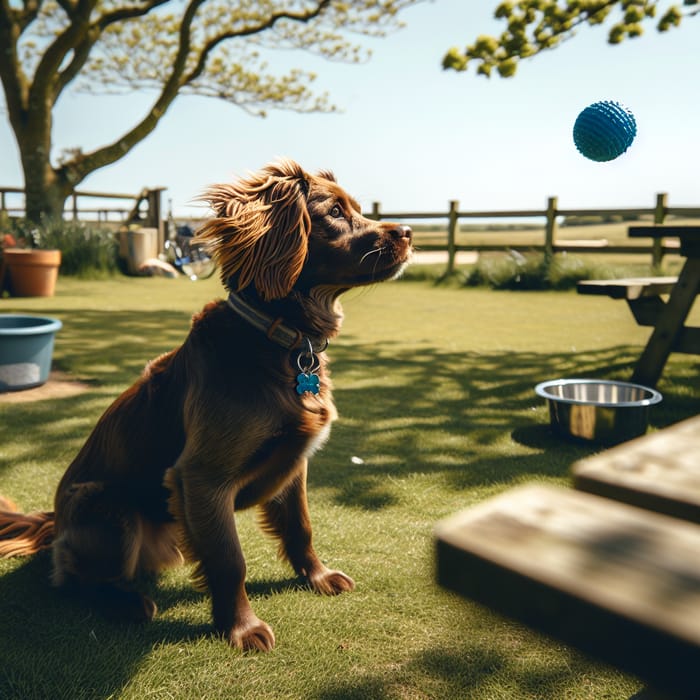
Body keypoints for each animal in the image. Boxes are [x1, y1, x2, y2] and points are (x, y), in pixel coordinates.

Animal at [0, 160, 412, 652]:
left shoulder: (294, 464)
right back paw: (127, 602)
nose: (408, 231)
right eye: (334, 211)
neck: (279, 341)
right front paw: (241, 628)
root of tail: (54, 523)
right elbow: (230, 559)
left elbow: (301, 527)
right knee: (76, 580)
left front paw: (317, 576)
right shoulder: (200, 477)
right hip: (108, 504)